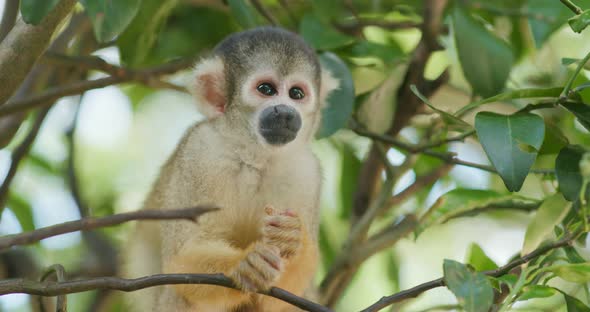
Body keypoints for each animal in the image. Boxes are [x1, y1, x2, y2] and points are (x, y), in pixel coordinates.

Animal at [127, 27, 340, 312]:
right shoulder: (200, 152)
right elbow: (181, 258)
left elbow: (279, 297)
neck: (254, 158)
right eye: (266, 89)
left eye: (296, 94)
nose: (285, 113)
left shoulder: (306, 172)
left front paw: (293, 240)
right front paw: (244, 265)